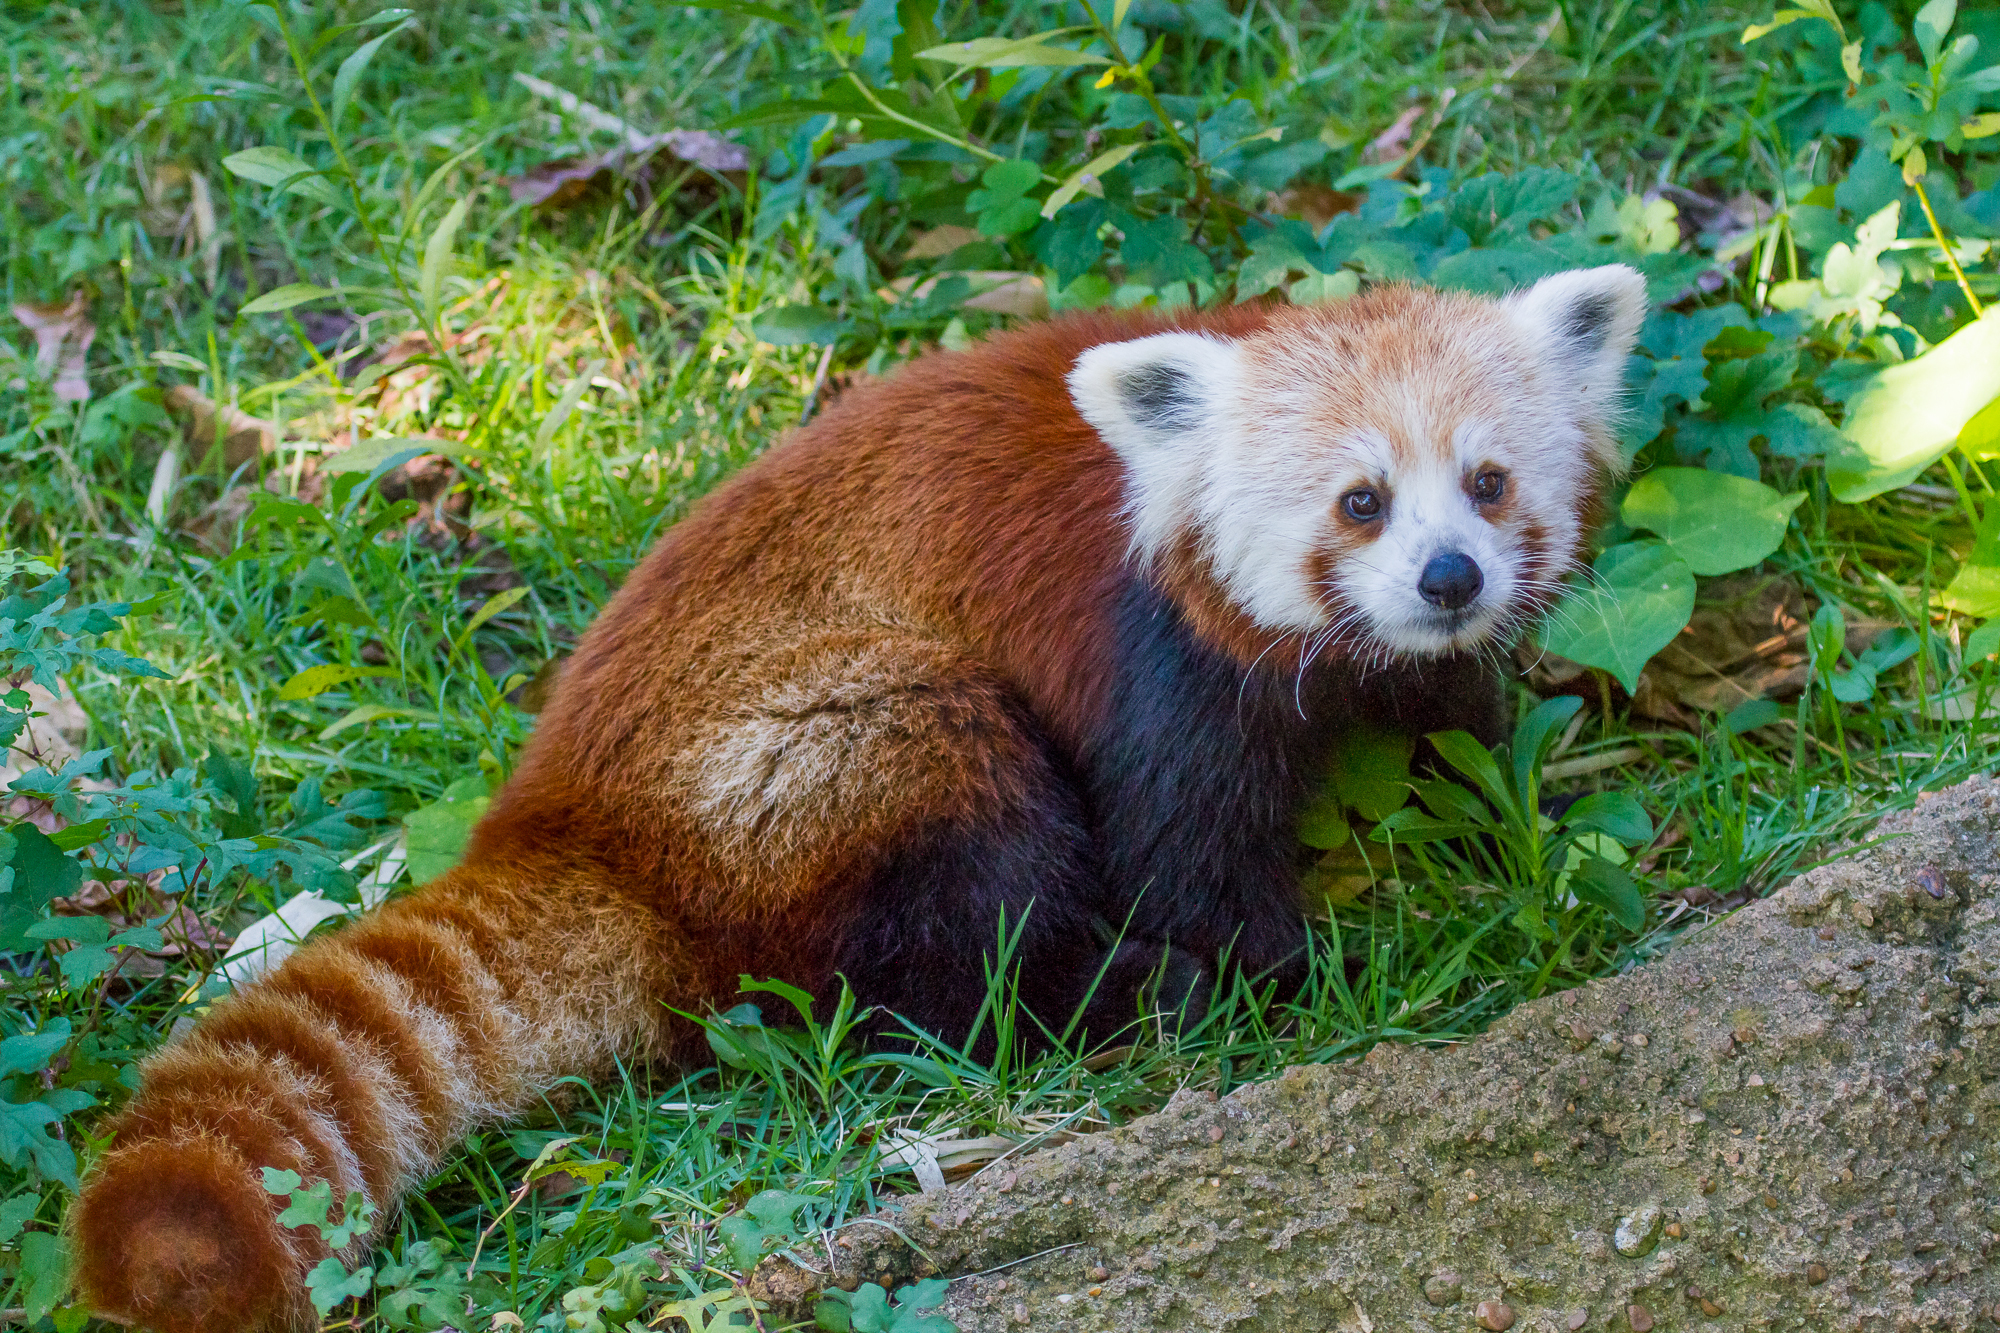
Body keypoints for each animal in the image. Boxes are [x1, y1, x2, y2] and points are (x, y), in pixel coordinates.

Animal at [70, 262, 1648, 1328]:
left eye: (1488, 482)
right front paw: (1293, 973)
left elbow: (1449, 733)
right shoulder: (1148, 656)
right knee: (934, 934)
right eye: (1359, 501)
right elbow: (1183, 848)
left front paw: (1514, 835)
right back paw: (1115, 995)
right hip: (841, 746)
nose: (1448, 578)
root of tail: (570, 822)